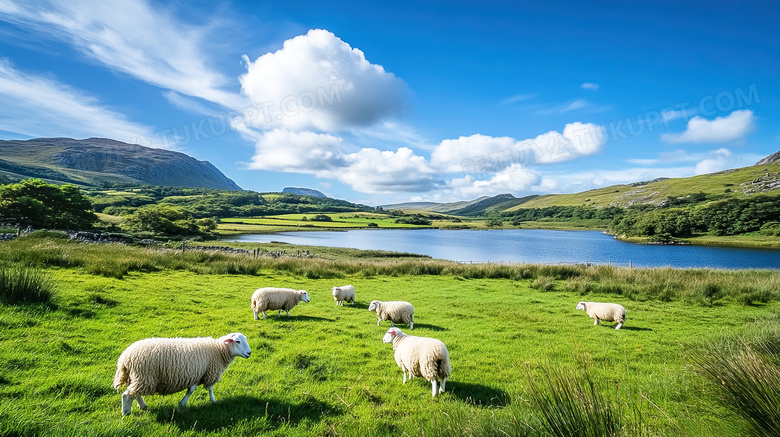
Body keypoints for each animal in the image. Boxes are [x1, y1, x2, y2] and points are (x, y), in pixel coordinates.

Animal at [112, 330, 250, 416]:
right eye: (237, 341)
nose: (249, 353)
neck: (218, 349)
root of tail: (125, 357)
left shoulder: (197, 374)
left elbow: (191, 390)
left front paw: (182, 403)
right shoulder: (210, 372)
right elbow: (210, 388)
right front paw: (213, 401)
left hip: (139, 378)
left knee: (135, 393)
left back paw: (143, 406)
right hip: (144, 376)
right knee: (128, 395)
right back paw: (126, 412)